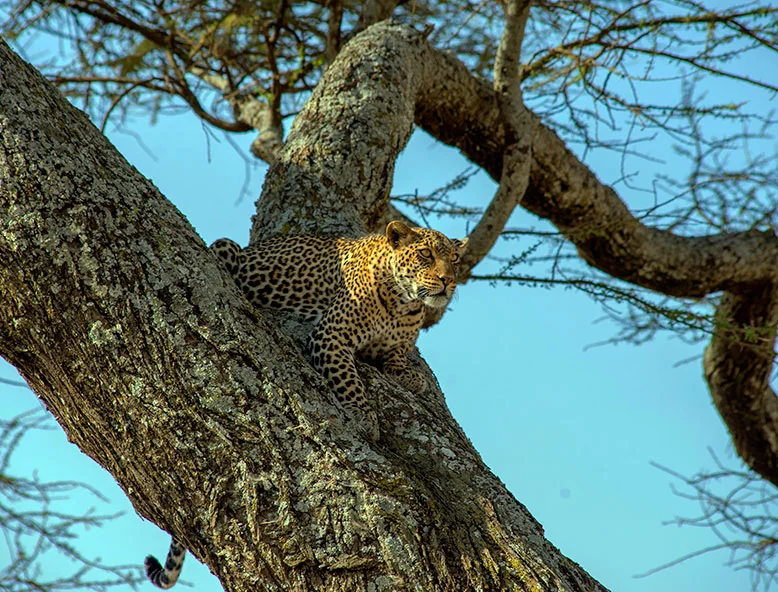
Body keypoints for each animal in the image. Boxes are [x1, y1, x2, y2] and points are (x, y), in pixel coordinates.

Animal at [143, 220, 467, 589]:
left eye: (455, 260)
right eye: (425, 254)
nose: (447, 280)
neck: (402, 303)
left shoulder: (394, 349)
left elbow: (399, 364)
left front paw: (413, 379)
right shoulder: (331, 336)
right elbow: (348, 379)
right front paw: (362, 417)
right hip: (227, 248)